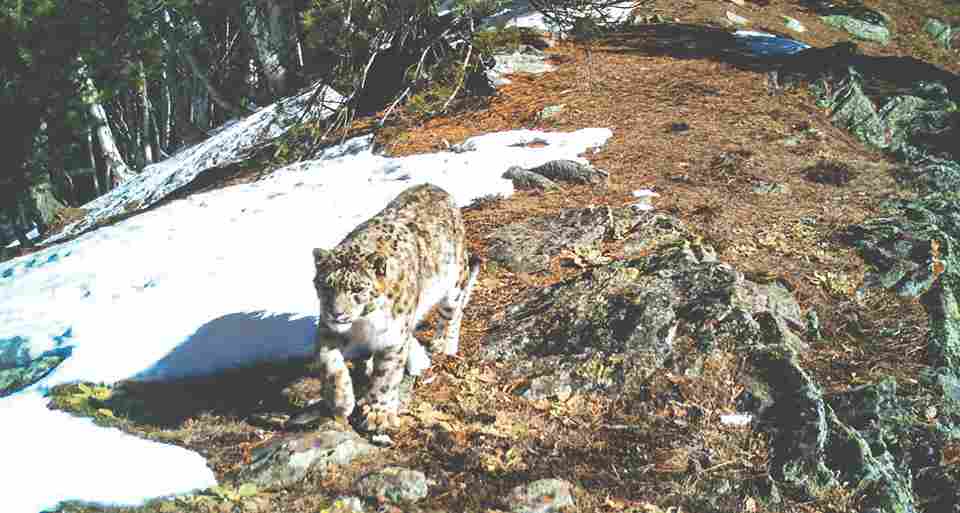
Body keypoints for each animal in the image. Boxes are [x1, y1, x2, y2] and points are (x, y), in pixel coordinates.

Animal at [308, 184, 480, 432]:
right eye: (325, 286)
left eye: (357, 289)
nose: (336, 313)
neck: (362, 324)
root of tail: (435, 187)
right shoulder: (326, 331)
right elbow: (329, 363)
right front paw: (341, 401)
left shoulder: (393, 338)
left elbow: (386, 377)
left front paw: (377, 413)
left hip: (454, 285)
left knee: (452, 315)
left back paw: (445, 344)